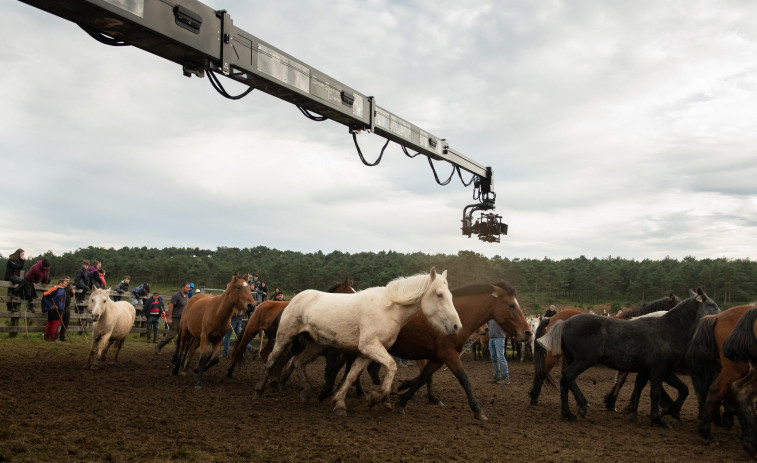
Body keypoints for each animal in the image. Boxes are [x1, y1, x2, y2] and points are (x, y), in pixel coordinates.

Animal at [224, 278, 354, 378]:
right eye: (349, 292)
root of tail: (260, 305)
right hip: (252, 330)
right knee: (241, 347)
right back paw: (230, 371)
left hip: (273, 339)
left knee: (264, 353)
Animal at [255, 268, 460, 416]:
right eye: (439, 294)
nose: (456, 326)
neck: (389, 309)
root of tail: (296, 298)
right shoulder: (370, 347)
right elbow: (392, 366)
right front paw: (376, 397)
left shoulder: (365, 353)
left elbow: (352, 376)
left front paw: (339, 403)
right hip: (284, 337)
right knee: (272, 361)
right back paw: (259, 392)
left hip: (316, 345)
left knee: (297, 361)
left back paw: (306, 392)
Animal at [324, 280, 532, 422]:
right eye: (512, 305)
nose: (528, 332)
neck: (456, 315)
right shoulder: (449, 355)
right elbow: (464, 379)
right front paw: (477, 410)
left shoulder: (437, 357)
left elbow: (424, 377)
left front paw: (404, 398)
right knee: (338, 368)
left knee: (359, 370)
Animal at [536, 290, 716, 428]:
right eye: (711, 305)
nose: (718, 318)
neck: (666, 330)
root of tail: (563, 322)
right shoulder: (658, 369)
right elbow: (655, 391)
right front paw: (659, 416)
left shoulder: (652, 369)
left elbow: (648, 387)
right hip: (580, 360)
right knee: (560, 375)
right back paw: (566, 406)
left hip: (572, 359)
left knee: (566, 380)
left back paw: (570, 411)